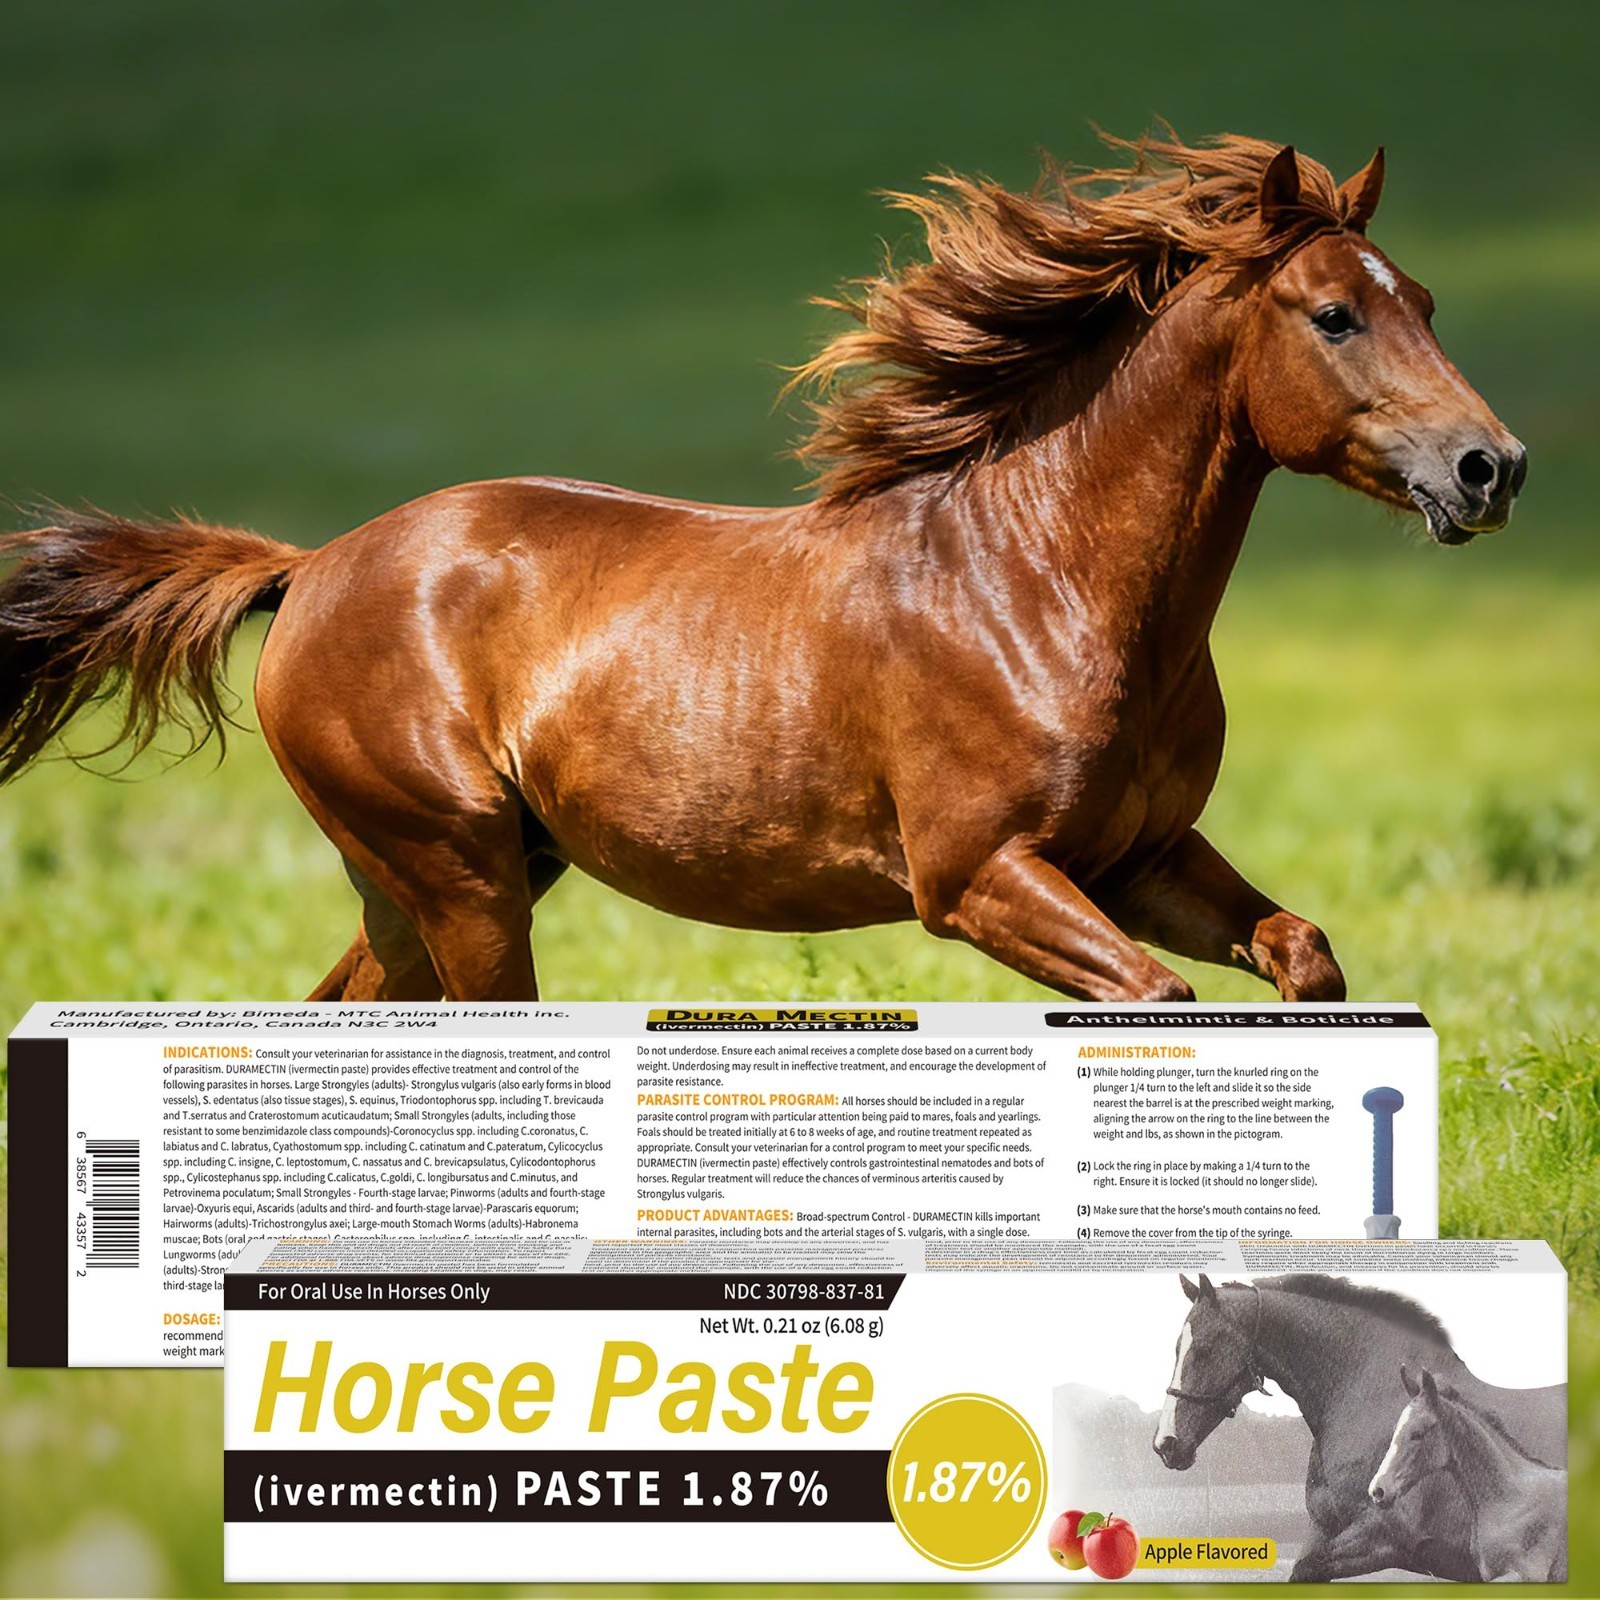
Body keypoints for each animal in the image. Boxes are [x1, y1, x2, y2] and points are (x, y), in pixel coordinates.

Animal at [0, 134, 1527, 1002]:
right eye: (1332, 315)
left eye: (1424, 300)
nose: (1490, 467)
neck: (1039, 588)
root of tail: (312, 566)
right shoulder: (978, 877)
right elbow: (1152, 1003)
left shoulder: (1140, 856)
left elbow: (1302, 956)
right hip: (460, 875)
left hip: (452, 879)